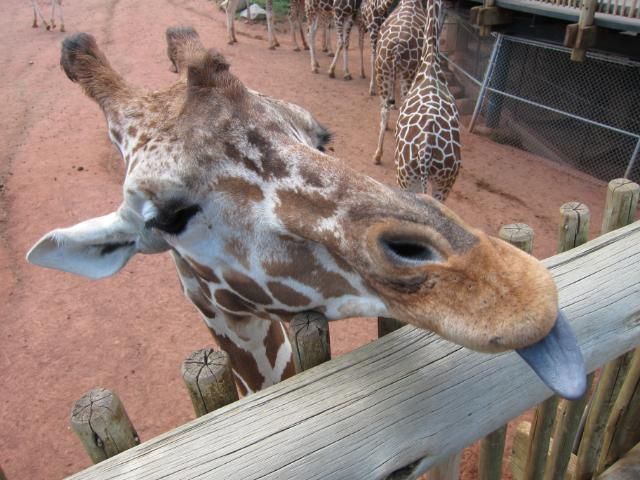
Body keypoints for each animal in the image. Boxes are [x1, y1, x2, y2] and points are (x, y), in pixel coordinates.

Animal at [372, 0, 428, 165]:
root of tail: (397, 48)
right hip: (407, 75)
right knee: (403, 105)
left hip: (382, 72)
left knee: (384, 109)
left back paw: (378, 155)